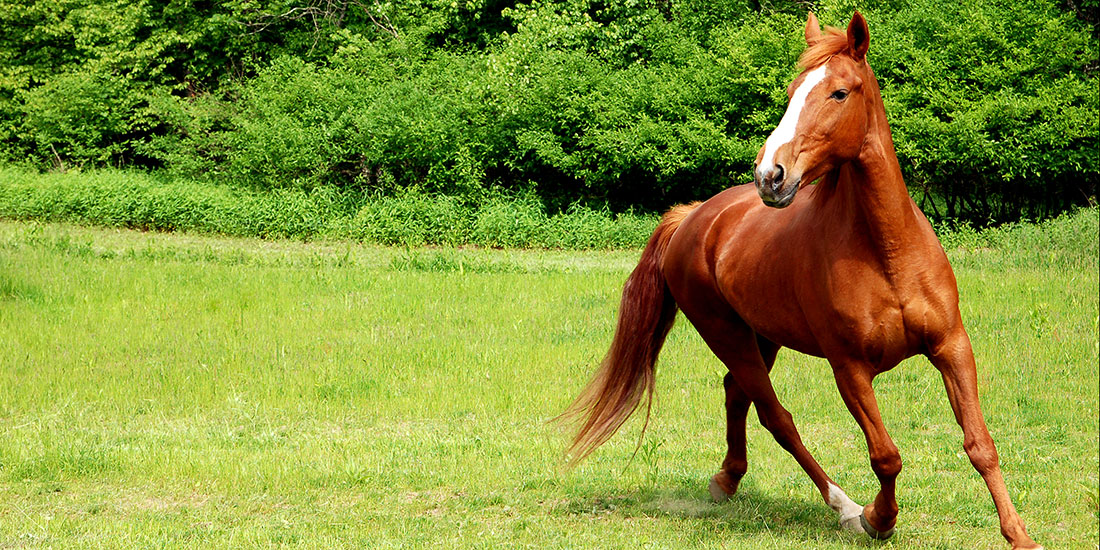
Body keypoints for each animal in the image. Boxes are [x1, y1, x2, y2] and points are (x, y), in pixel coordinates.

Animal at [563, 12, 1042, 550]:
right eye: (792, 91)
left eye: (839, 92)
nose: (770, 175)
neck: (888, 252)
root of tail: (693, 217)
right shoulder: (849, 368)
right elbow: (885, 454)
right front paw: (878, 518)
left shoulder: (952, 346)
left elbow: (980, 444)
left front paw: (1020, 535)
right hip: (727, 335)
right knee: (776, 417)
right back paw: (843, 506)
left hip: (762, 336)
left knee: (737, 394)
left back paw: (728, 478)